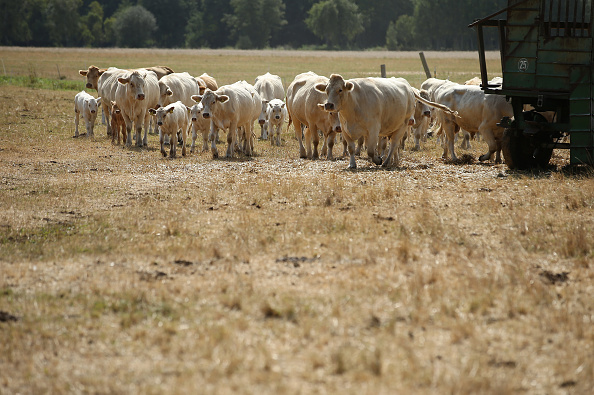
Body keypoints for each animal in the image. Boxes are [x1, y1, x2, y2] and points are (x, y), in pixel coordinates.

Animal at [316, 74, 456, 169]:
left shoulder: (373, 130)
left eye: (340, 90)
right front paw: (352, 164)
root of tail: (407, 86)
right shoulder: (345, 130)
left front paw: (378, 160)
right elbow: (351, 148)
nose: (328, 105)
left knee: (394, 144)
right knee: (393, 146)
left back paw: (387, 161)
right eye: (326, 90)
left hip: (402, 125)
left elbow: (371, 150)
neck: (354, 104)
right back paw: (393, 160)